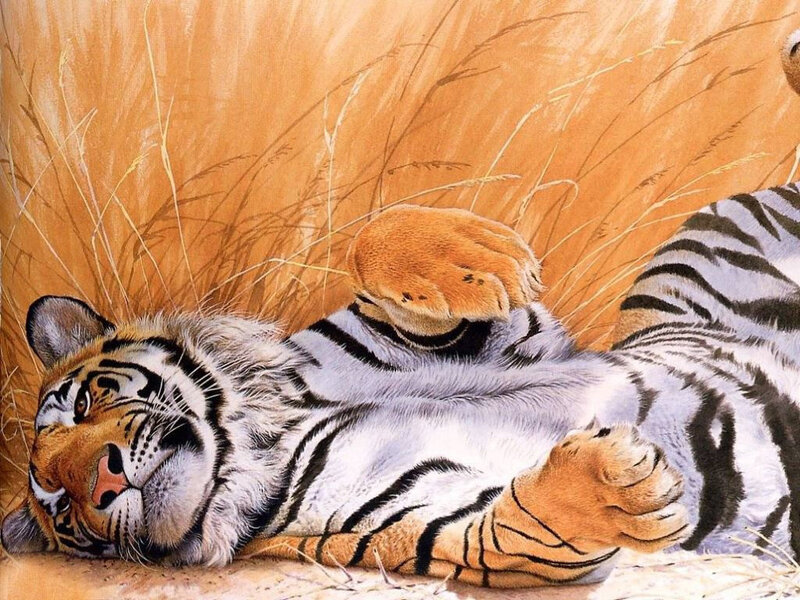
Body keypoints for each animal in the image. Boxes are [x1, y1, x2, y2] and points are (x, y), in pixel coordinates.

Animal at [2, 29, 800, 590]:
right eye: (60, 504)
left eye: (83, 404)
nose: (101, 482)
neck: (258, 444)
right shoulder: (434, 518)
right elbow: (521, 524)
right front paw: (613, 479)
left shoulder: (473, 337)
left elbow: (375, 239)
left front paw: (479, 258)